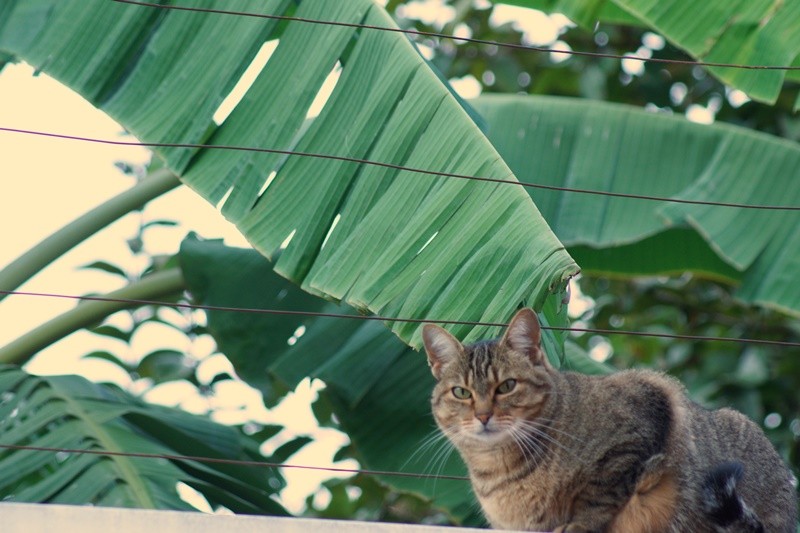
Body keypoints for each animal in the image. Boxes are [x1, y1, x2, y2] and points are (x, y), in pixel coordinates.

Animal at [422, 308, 796, 532]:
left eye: (507, 386)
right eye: (461, 392)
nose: (483, 415)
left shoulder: (645, 409)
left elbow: (598, 496)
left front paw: (575, 524)